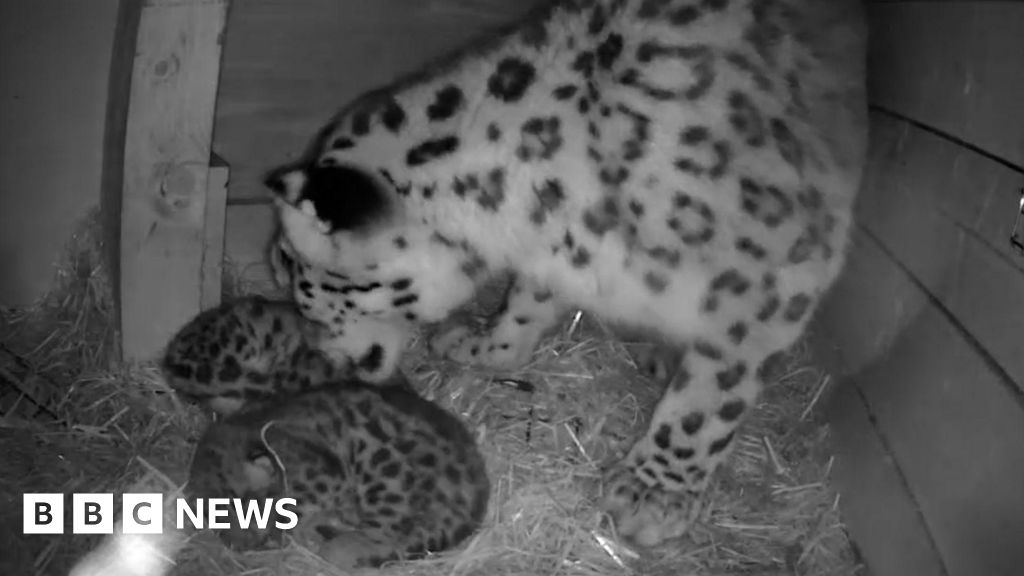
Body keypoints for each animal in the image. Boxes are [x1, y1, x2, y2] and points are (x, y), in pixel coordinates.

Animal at [186, 378, 490, 569]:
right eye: (215, 515)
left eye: (243, 502)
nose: (241, 545)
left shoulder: (323, 475)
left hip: (384, 464)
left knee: (388, 535)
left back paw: (336, 549)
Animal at [263, 0, 868, 547]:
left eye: (296, 272)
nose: (315, 351)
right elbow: (526, 305)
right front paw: (482, 345)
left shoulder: (775, 273)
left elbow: (713, 392)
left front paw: (654, 494)